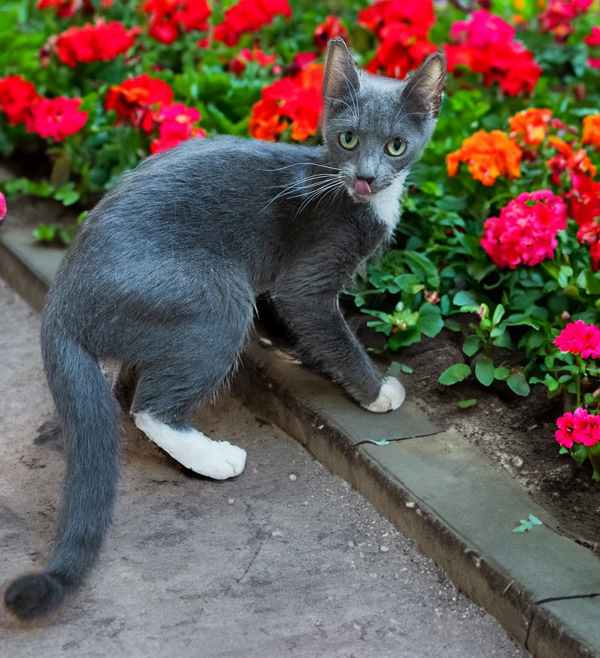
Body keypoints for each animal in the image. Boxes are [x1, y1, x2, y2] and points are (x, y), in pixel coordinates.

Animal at [3, 38, 446, 624]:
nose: (367, 177)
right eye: (348, 138)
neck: (346, 190)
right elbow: (320, 320)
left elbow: (297, 321)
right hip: (214, 296)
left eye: (397, 146)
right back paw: (214, 457)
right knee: (151, 405)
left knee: (131, 388)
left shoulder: (282, 284)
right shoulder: (308, 274)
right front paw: (377, 392)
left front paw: (299, 352)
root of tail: (61, 303)